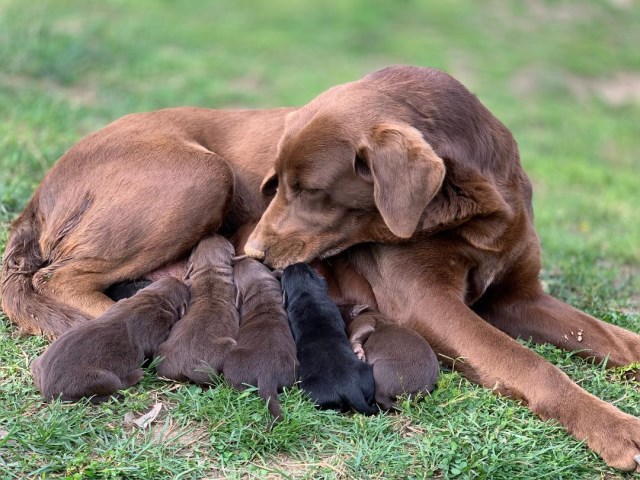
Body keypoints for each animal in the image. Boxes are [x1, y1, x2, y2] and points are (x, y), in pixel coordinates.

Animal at [30, 276, 190, 404]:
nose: (181, 279)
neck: (154, 298)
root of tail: (47, 390)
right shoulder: (156, 326)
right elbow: (151, 351)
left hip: (37, 363)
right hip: (98, 378)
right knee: (117, 384)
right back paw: (136, 376)